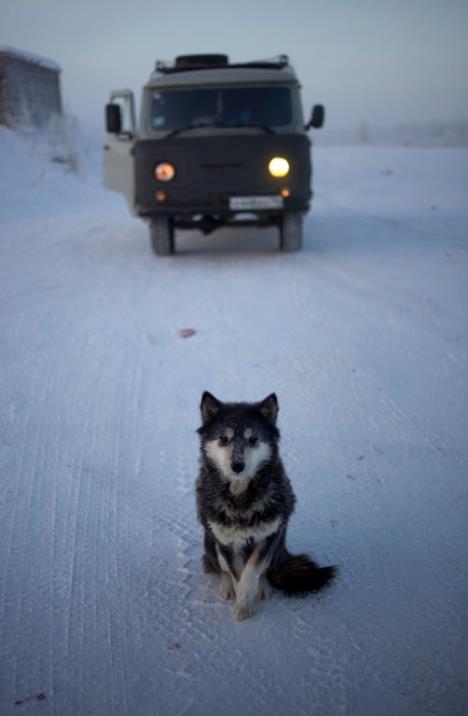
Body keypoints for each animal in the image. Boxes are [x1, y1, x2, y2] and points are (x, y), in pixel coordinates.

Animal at [197, 392, 336, 620]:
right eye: (223, 439)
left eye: (253, 439)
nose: (237, 466)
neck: (241, 499)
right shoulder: (226, 541)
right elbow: (235, 572)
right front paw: (241, 602)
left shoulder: (270, 536)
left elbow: (252, 571)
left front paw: (245, 602)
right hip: (210, 541)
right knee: (219, 566)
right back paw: (226, 586)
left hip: (278, 545)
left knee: (265, 569)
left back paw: (262, 587)